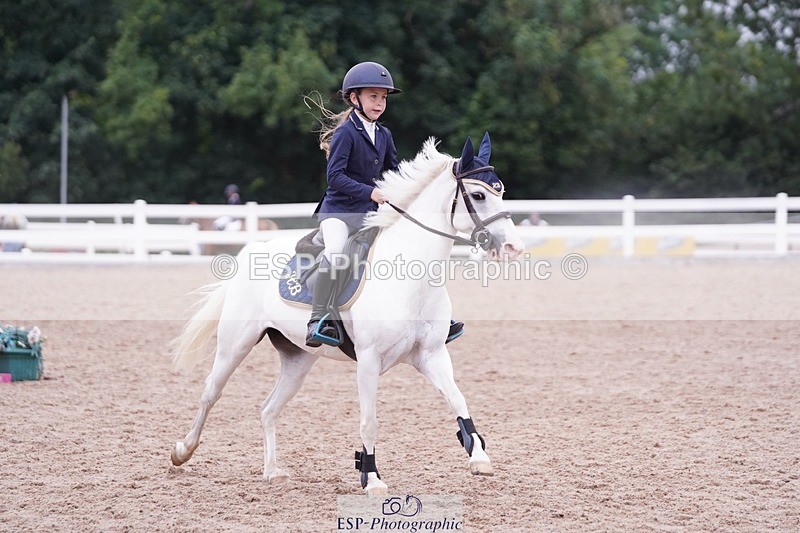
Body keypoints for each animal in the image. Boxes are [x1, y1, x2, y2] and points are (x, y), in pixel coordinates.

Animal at [169, 133, 525, 496]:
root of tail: (252, 250)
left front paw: (479, 456)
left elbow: (458, 400)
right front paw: (372, 478)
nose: (514, 248)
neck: (412, 278)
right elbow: (369, 422)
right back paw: (182, 452)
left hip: (298, 359)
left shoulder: (432, 355)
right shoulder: (368, 360)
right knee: (211, 393)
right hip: (235, 345)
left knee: (268, 409)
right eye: (479, 195)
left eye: (501, 192)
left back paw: (272, 472)